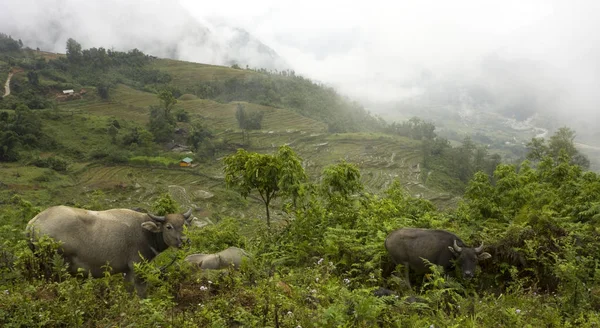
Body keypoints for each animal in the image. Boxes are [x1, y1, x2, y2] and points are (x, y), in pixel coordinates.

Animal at [26, 206, 192, 296]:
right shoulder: (137, 266)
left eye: (185, 225)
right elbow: (140, 291)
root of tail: (34, 222)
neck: (145, 232)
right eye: (169, 226)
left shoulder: (127, 271)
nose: (185, 240)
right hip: (56, 267)